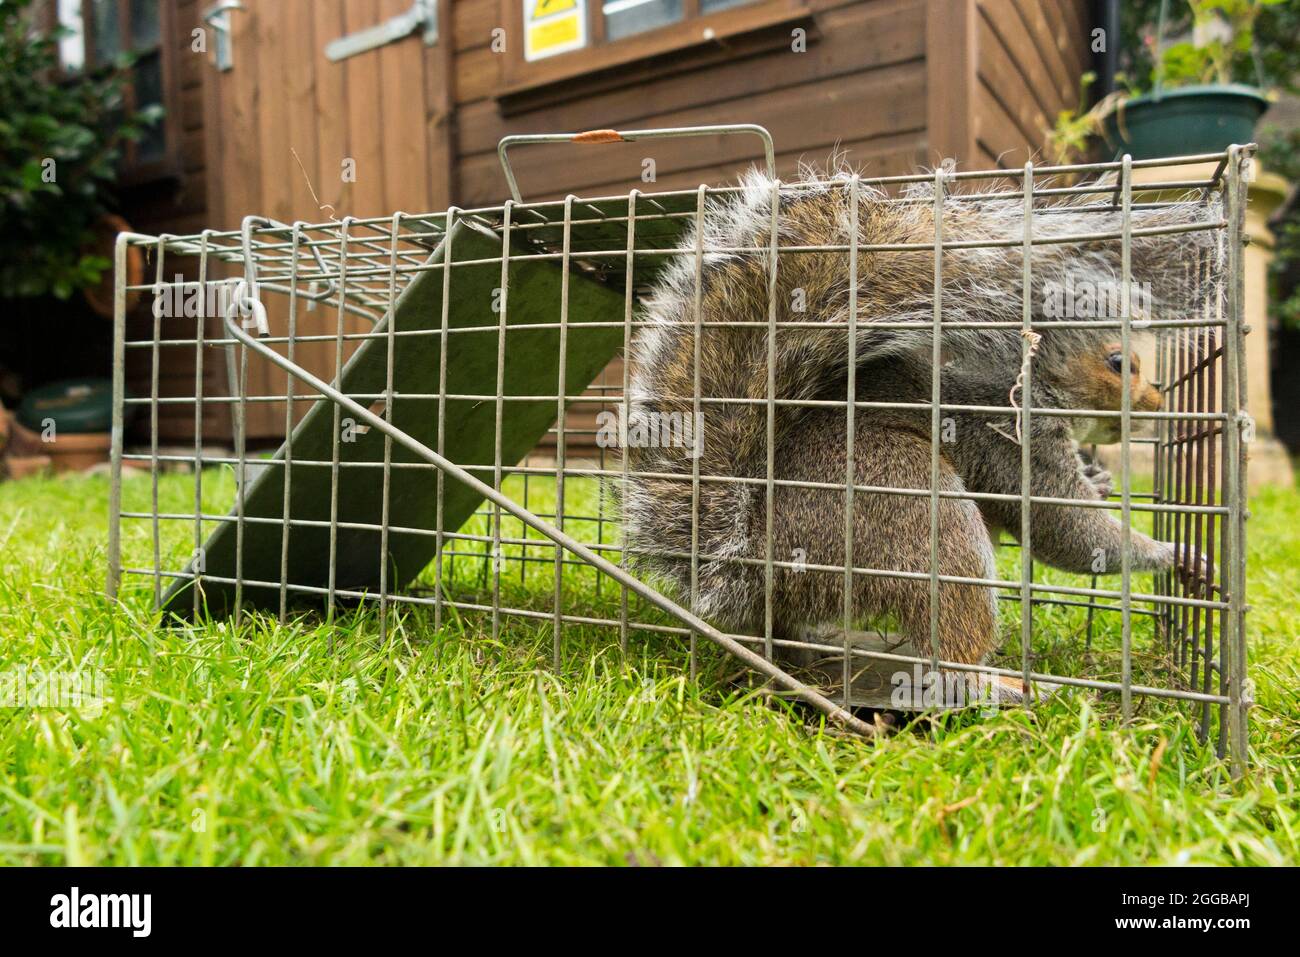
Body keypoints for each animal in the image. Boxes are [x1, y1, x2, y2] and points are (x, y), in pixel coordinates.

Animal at [621, 166, 1216, 686]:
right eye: (1119, 363)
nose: (1158, 403)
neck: (1028, 384)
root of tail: (755, 555)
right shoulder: (1011, 442)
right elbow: (1069, 532)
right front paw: (1173, 555)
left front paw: (1101, 480)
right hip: (910, 507)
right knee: (951, 639)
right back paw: (994, 685)